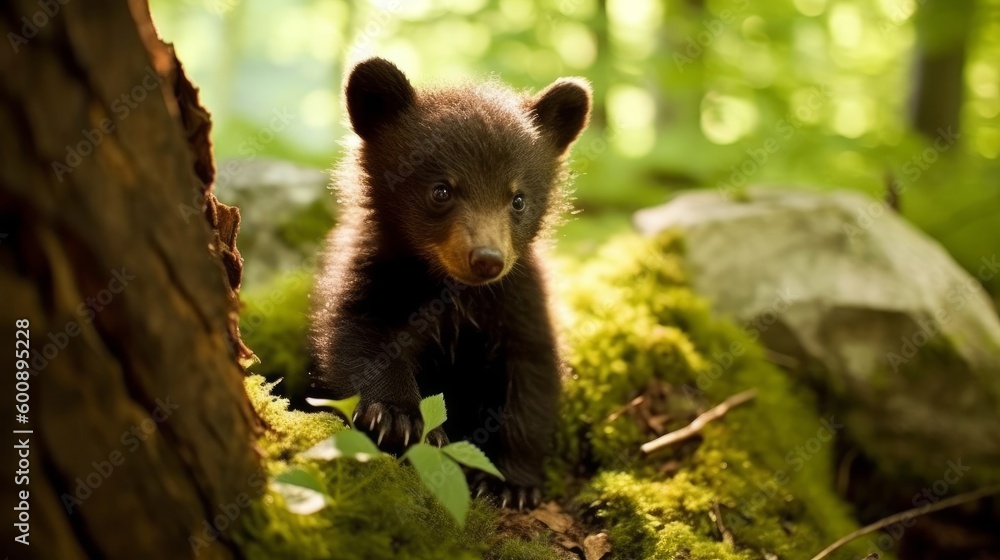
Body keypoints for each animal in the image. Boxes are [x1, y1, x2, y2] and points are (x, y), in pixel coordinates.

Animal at [307, 57, 591, 509]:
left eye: (518, 199)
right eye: (441, 190)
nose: (487, 259)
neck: (453, 291)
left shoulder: (521, 298)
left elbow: (532, 376)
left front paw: (512, 482)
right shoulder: (371, 273)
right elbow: (358, 336)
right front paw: (397, 416)